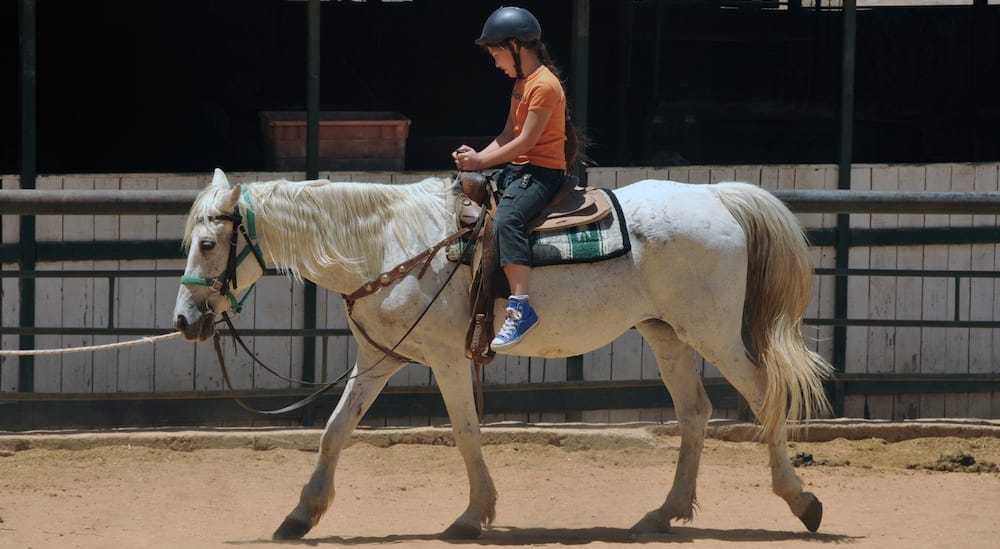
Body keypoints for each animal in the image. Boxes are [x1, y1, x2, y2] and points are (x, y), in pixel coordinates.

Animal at [176, 168, 832, 540]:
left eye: (207, 243)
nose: (185, 321)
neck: (392, 245)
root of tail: (717, 197)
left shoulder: (445, 360)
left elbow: (466, 432)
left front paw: (473, 515)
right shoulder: (380, 359)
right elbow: (336, 431)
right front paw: (301, 516)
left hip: (712, 332)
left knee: (764, 396)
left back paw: (802, 502)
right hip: (666, 333)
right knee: (694, 412)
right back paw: (661, 516)